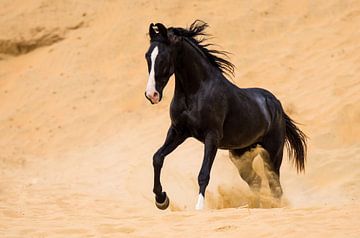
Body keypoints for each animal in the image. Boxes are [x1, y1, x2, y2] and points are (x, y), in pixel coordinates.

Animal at [143, 20, 306, 210]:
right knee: (256, 181)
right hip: (240, 155)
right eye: (147, 56)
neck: (196, 91)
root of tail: (276, 104)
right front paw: (161, 200)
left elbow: (203, 174)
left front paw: (199, 208)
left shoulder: (211, 136)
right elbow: (157, 158)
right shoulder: (178, 131)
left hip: (272, 154)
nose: (151, 95)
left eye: (163, 58)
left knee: (275, 187)